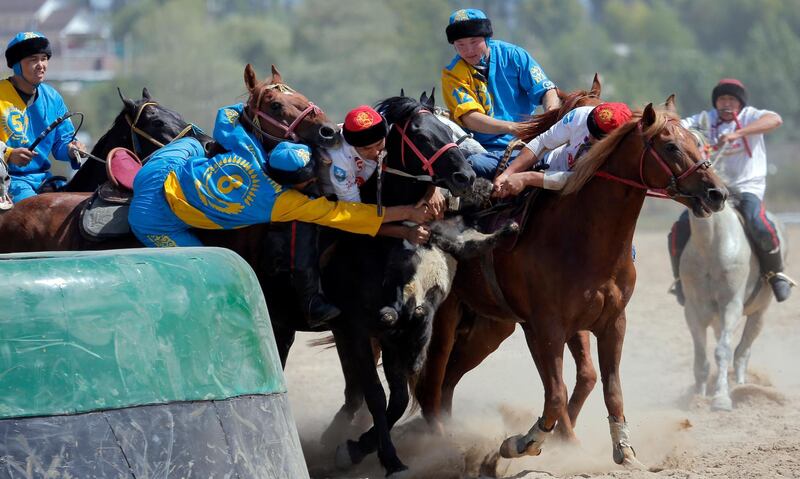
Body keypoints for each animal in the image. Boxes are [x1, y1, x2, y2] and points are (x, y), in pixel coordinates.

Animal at [416, 94, 728, 468]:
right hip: (446, 318)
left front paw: (623, 449)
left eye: (696, 141)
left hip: (490, 328)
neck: (583, 237)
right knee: (431, 388)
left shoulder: (610, 322)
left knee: (447, 383)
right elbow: (556, 393)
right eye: (670, 146)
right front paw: (524, 442)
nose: (717, 192)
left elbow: (606, 387)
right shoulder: (546, 326)